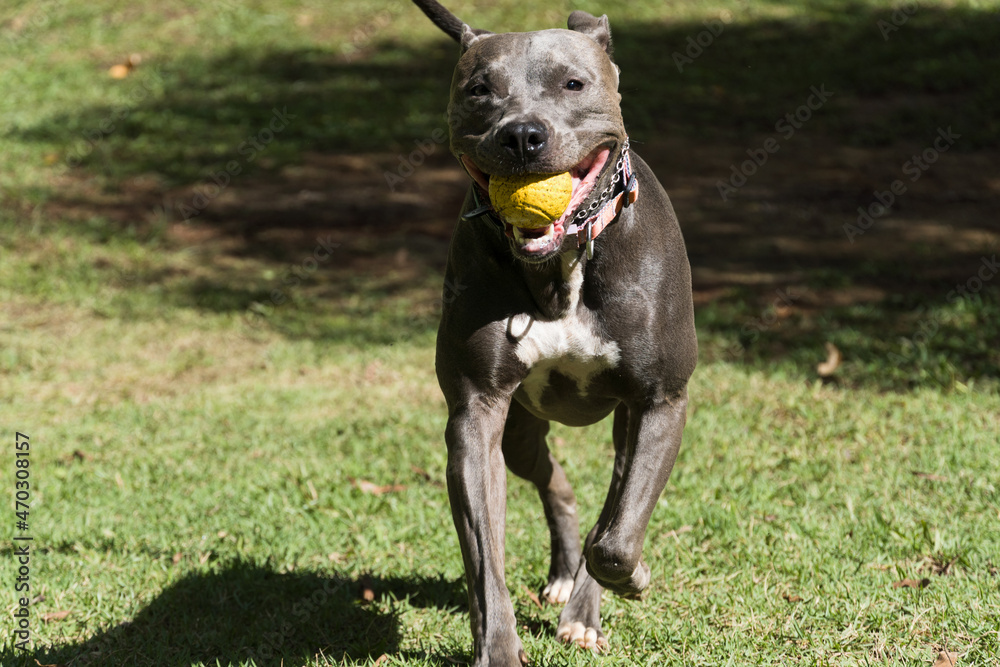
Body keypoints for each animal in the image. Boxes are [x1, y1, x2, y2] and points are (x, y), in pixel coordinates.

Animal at [412, 2, 696, 664]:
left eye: (573, 83)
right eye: (479, 90)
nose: (521, 135)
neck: (561, 266)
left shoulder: (659, 402)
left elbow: (615, 536)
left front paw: (630, 579)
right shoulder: (474, 414)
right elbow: (484, 559)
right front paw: (496, 646)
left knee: (607, 513)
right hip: (519, 429)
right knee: (554, 485)